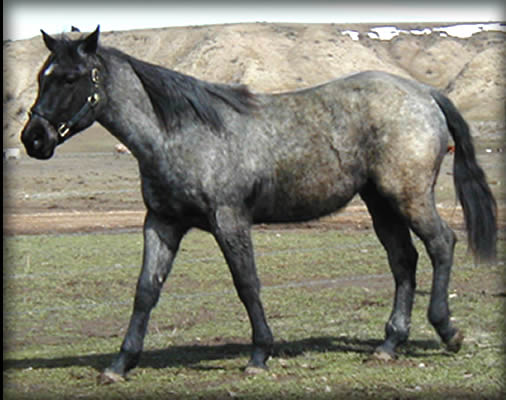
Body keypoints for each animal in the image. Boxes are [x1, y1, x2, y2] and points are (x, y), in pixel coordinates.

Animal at [20, 26, 498, 382]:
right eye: (43, 76)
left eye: (70, 77)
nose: (33, 138)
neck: (180, 133)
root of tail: (424, 91)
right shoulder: (162, 223)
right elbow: (145, 290)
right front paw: (120, 364)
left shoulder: (229, 220)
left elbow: (246, 284)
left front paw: (259, 355)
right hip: (380, 203)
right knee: (403, 261)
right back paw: (389, 344)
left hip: (409, 196)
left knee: (441, 245)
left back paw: (447, 330)